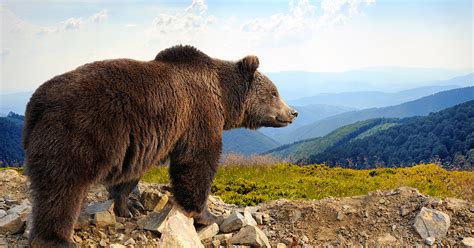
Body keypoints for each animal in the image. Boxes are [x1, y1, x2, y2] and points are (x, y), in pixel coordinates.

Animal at [23, 45, 296, 247]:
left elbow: (132, 173)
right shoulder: (198, 115)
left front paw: (129, 206)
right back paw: (56, 239)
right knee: (62, 187)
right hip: (79, 131)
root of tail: (37, 102)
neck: (224, 97)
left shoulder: (144, 140)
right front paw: (208, 216)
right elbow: (197, 162)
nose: (293, 112)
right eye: (274, 92)